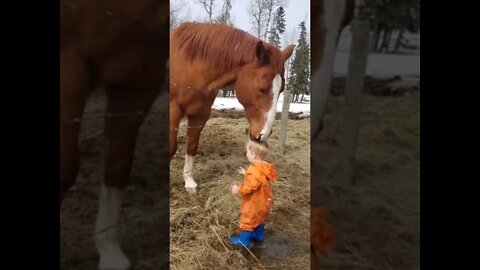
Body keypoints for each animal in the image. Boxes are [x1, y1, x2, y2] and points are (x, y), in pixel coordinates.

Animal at [169, 22, 296, 192]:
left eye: (281, 89)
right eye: (262, 88)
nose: (263, 134)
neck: (190, 66)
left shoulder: (200, 114)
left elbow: (192, 146)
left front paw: (189, 182)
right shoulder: (173, 111)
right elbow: (171, 147)